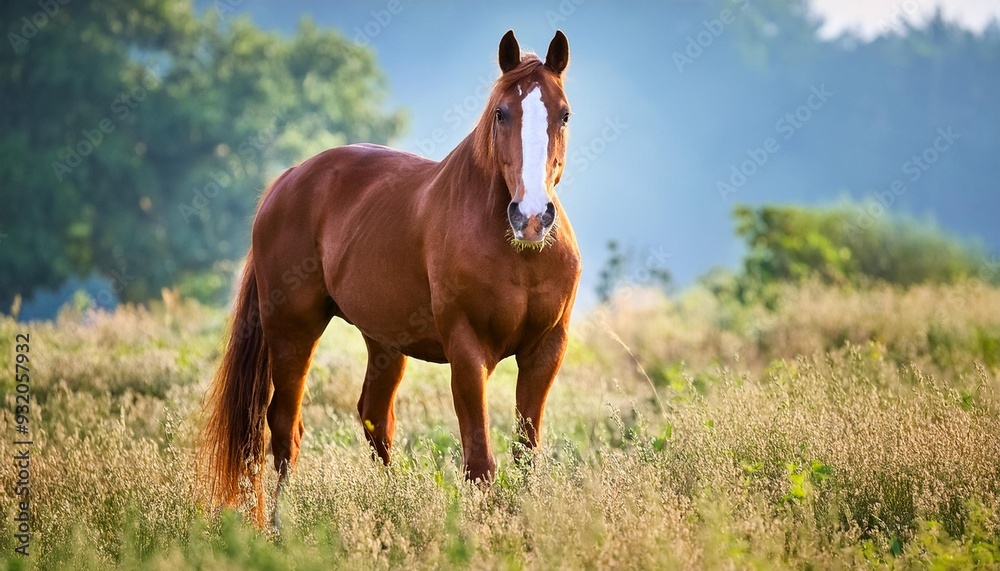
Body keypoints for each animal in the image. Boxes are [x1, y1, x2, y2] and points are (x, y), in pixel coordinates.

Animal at [202, 29, 581, 525]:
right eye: (501, 113)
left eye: (564, 114)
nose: (532, 216)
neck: (519, 253)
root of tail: (287, 181)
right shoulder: (467, 351)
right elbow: (480, 461)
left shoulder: (545, 351)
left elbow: (525, 453)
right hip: (291, 329)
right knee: (284, 426)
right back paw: (280, 527)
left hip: (382, 340)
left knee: (374, 417)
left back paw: (393, 499)